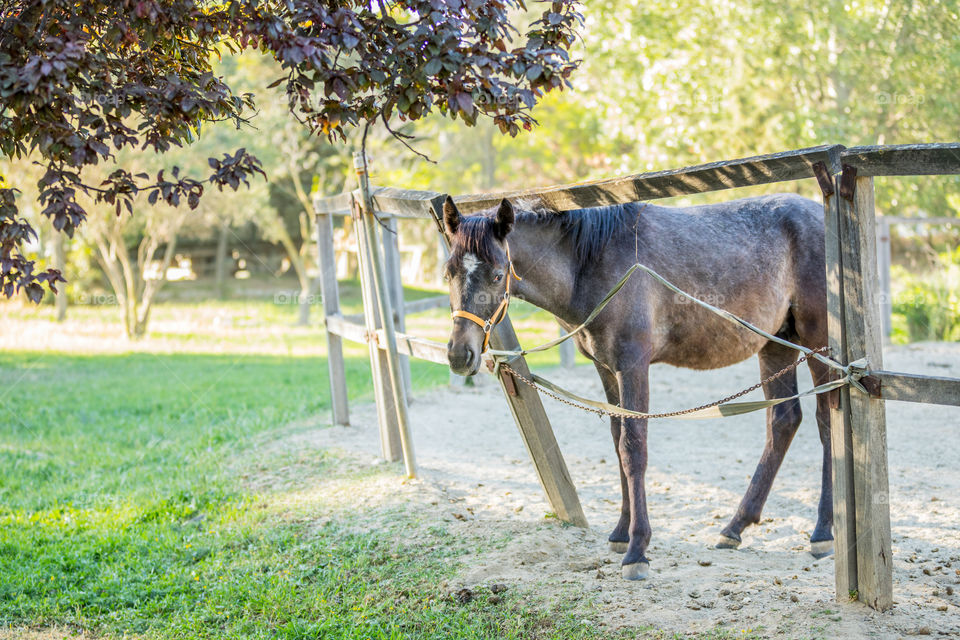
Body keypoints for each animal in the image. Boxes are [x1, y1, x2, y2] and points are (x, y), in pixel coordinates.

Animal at [442, 194, 832, 580]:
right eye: (449, 273)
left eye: (497, 274)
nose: (460, 354)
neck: (594, 263)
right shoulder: (606, 368)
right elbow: (618, 440)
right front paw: (620, 533)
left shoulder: (633, 366)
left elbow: (634, 447)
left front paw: (637, 550)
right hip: (776, 344)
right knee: (784, 421)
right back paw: (735, 527)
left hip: (818, 346)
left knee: (827, 423)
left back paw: (822, 533)